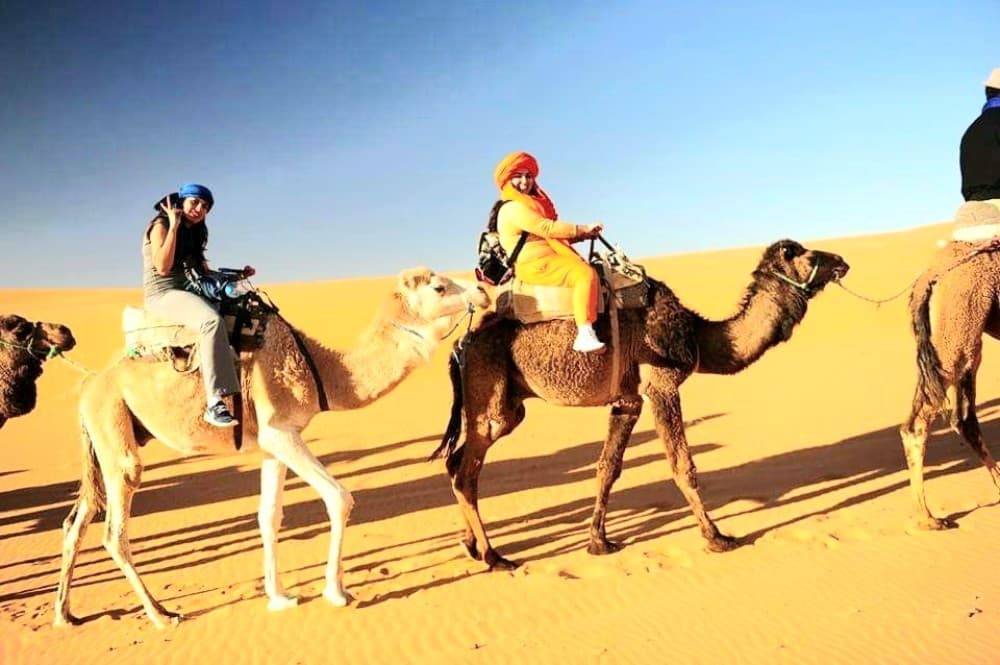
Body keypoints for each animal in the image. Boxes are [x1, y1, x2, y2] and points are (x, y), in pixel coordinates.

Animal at [54, 268, 489, 628]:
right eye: (439, 287)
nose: (483, 290)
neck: (321, 370)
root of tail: (88, 386)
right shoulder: (281, 432)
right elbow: (339, 498)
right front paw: (337, 592)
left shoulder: (270, 446)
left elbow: (269, 516)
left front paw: (279, 597)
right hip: (115, 432)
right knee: (115, 530)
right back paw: (161, 615)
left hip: (104, 438)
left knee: (77, 519)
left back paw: (65, 614)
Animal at [432, 240, 849, 569]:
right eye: (809, 254)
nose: (842, 261)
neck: (699, 334)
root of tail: (460, 345)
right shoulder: (661, 385)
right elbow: (682, 465)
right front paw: (716, 536)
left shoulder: (628, 400)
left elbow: (608, 468)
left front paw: (598, 542)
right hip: (492, 399)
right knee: (466, 470)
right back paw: (494, 556)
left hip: (499, 404)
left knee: (458, 463)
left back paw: (471, 545)